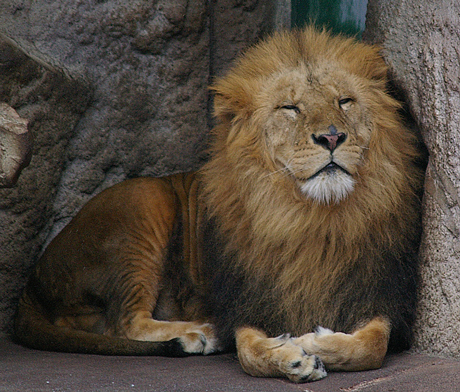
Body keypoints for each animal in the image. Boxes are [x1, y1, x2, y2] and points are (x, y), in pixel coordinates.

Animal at [14, 28, 424, 382]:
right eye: (290, 108)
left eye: (344, 101)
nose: (332, 137)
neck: (310, 216)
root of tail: (33, 278)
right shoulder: (248, 302)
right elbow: (249, 354)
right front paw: (292, 355)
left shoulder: (379, 294)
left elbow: (372, 345)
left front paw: (312, 342)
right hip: (146, 199)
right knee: (122, 321)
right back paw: (198, 334)